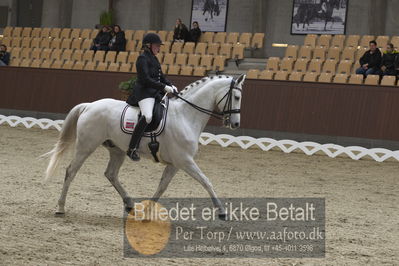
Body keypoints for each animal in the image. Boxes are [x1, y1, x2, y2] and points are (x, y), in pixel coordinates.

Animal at [43, 74, 245, 218]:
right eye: (236, 96)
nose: (235, 124)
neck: (185, 116)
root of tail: (89, 105)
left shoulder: (175, 164)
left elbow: (162, 186)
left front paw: (147, 211)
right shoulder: (185, 161)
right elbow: (206, 181)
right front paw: (222, 212)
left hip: (117, 150)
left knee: (111, 174)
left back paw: (130, 204)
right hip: (86, 146)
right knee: (71, 171)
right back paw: (60, 207)